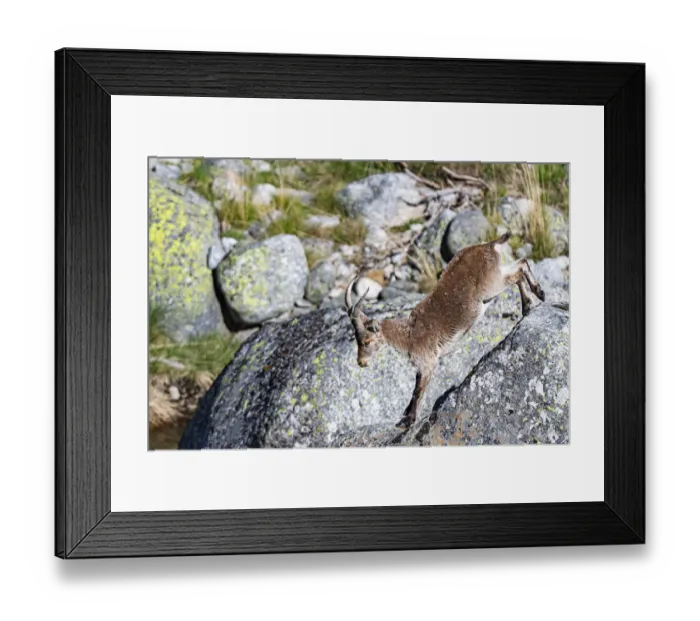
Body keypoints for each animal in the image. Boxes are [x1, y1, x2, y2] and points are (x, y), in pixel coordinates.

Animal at [345, 232, 546, 430]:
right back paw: (532, 301)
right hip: (496, 278)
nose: (361, 362)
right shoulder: (421, 367)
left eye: (367, 341)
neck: (409, 334)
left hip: (492, 286)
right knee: (521, 263)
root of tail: (489, 245)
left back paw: (535, 297)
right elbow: (415, 390)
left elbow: (418, 391)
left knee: (518, 273)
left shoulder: (428, 362)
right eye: (356, 340)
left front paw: (408, 420)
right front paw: (405, 416)